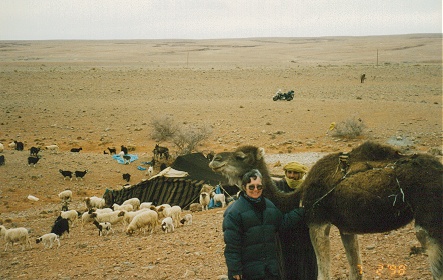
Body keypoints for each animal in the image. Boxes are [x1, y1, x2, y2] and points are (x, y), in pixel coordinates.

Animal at [209, 142, 443, 280]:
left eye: (240, 156)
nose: (214, 159)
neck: (298, 195)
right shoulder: (347, 229)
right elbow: (355, 271)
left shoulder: (317, 221)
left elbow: (323, 274)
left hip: (429, 220)